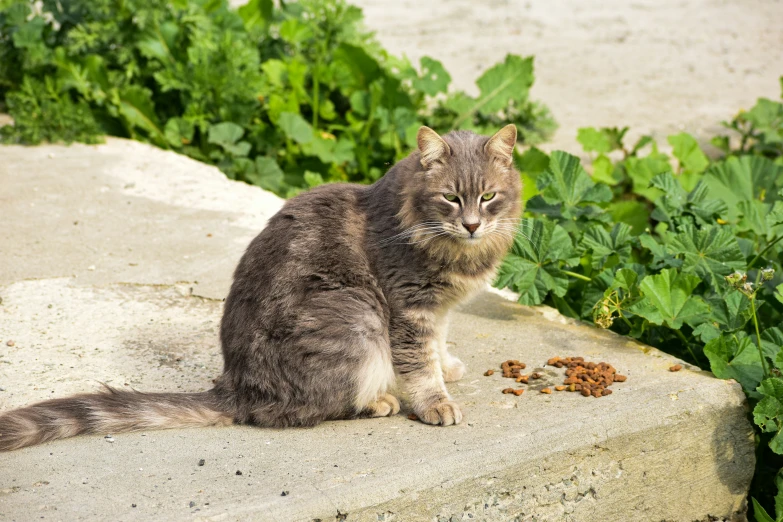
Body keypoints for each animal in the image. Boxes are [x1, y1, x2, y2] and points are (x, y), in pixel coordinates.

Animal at [1, 124, 528, 448]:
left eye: (488, 196)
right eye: (450, 198)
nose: (473, 224)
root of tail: (237, 388)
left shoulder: (437, 310)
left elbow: (438, 345)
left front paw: (448, 367)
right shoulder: (408, 307)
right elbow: (419, 364)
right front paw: (435, 401)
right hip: (356, 313)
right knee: (305, 411)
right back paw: (376, 400)